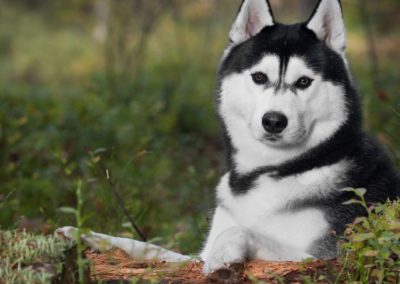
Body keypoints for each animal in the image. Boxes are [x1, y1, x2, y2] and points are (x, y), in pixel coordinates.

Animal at [57, 0, 400, 276]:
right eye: (259, 77)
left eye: (304, 82)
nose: (274, 121)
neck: (271, 172)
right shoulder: (193, 256)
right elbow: (147, 247)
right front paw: (84, 234)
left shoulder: (327, 257)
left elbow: (243, 231)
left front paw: (225, 256)